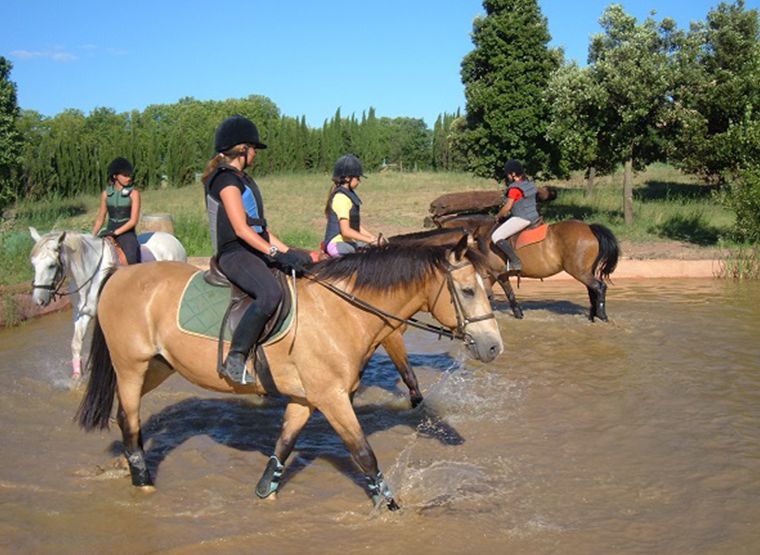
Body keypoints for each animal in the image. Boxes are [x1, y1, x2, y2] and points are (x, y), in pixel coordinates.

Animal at [29, 227, 187, 378]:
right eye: (33, 264)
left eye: (51, 265)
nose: (38, 301)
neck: (90, 274)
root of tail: (171, 238)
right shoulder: (82, 313)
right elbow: (76, 344)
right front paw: (77, 377)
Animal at [75, 239, 504, 512]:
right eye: (468, 290)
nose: (493, 347)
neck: (342, 311)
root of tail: (120, 275)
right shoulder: (332, 398)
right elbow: (363, 454)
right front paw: (390, 506)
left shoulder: (306, 398)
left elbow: (283, 444)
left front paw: (265, 490)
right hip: (131, 366)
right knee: (130, 418)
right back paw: (142, 480)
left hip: (158, 365)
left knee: (125, 415)